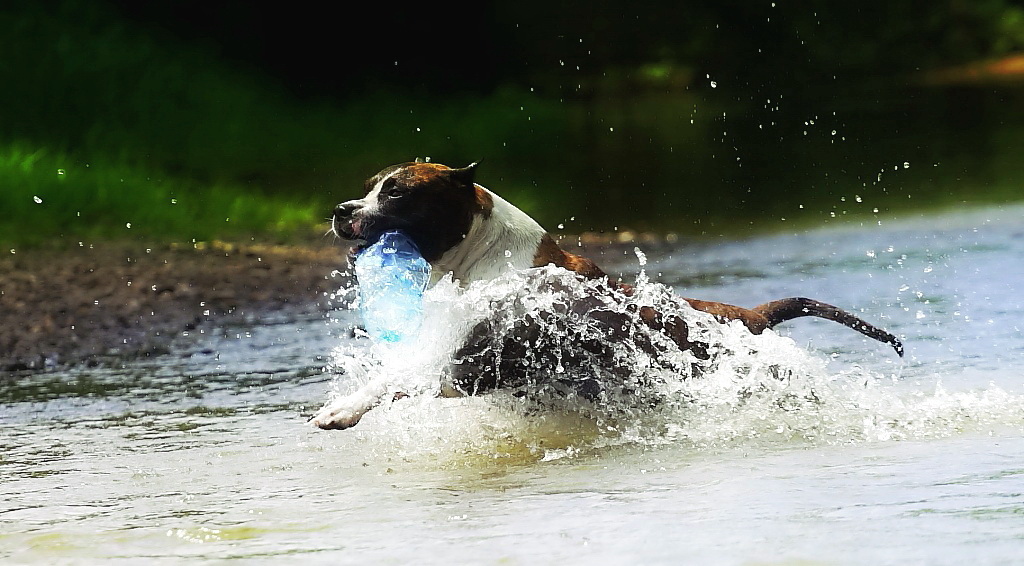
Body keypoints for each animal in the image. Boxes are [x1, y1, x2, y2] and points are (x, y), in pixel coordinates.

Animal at [307, 160, 901, 429]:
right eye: (368, 187)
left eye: (396, 193)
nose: (341, 210)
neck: (478, 258)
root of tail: (750, 315)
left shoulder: (465, 363)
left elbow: (395, 377)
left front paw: (342, 408)